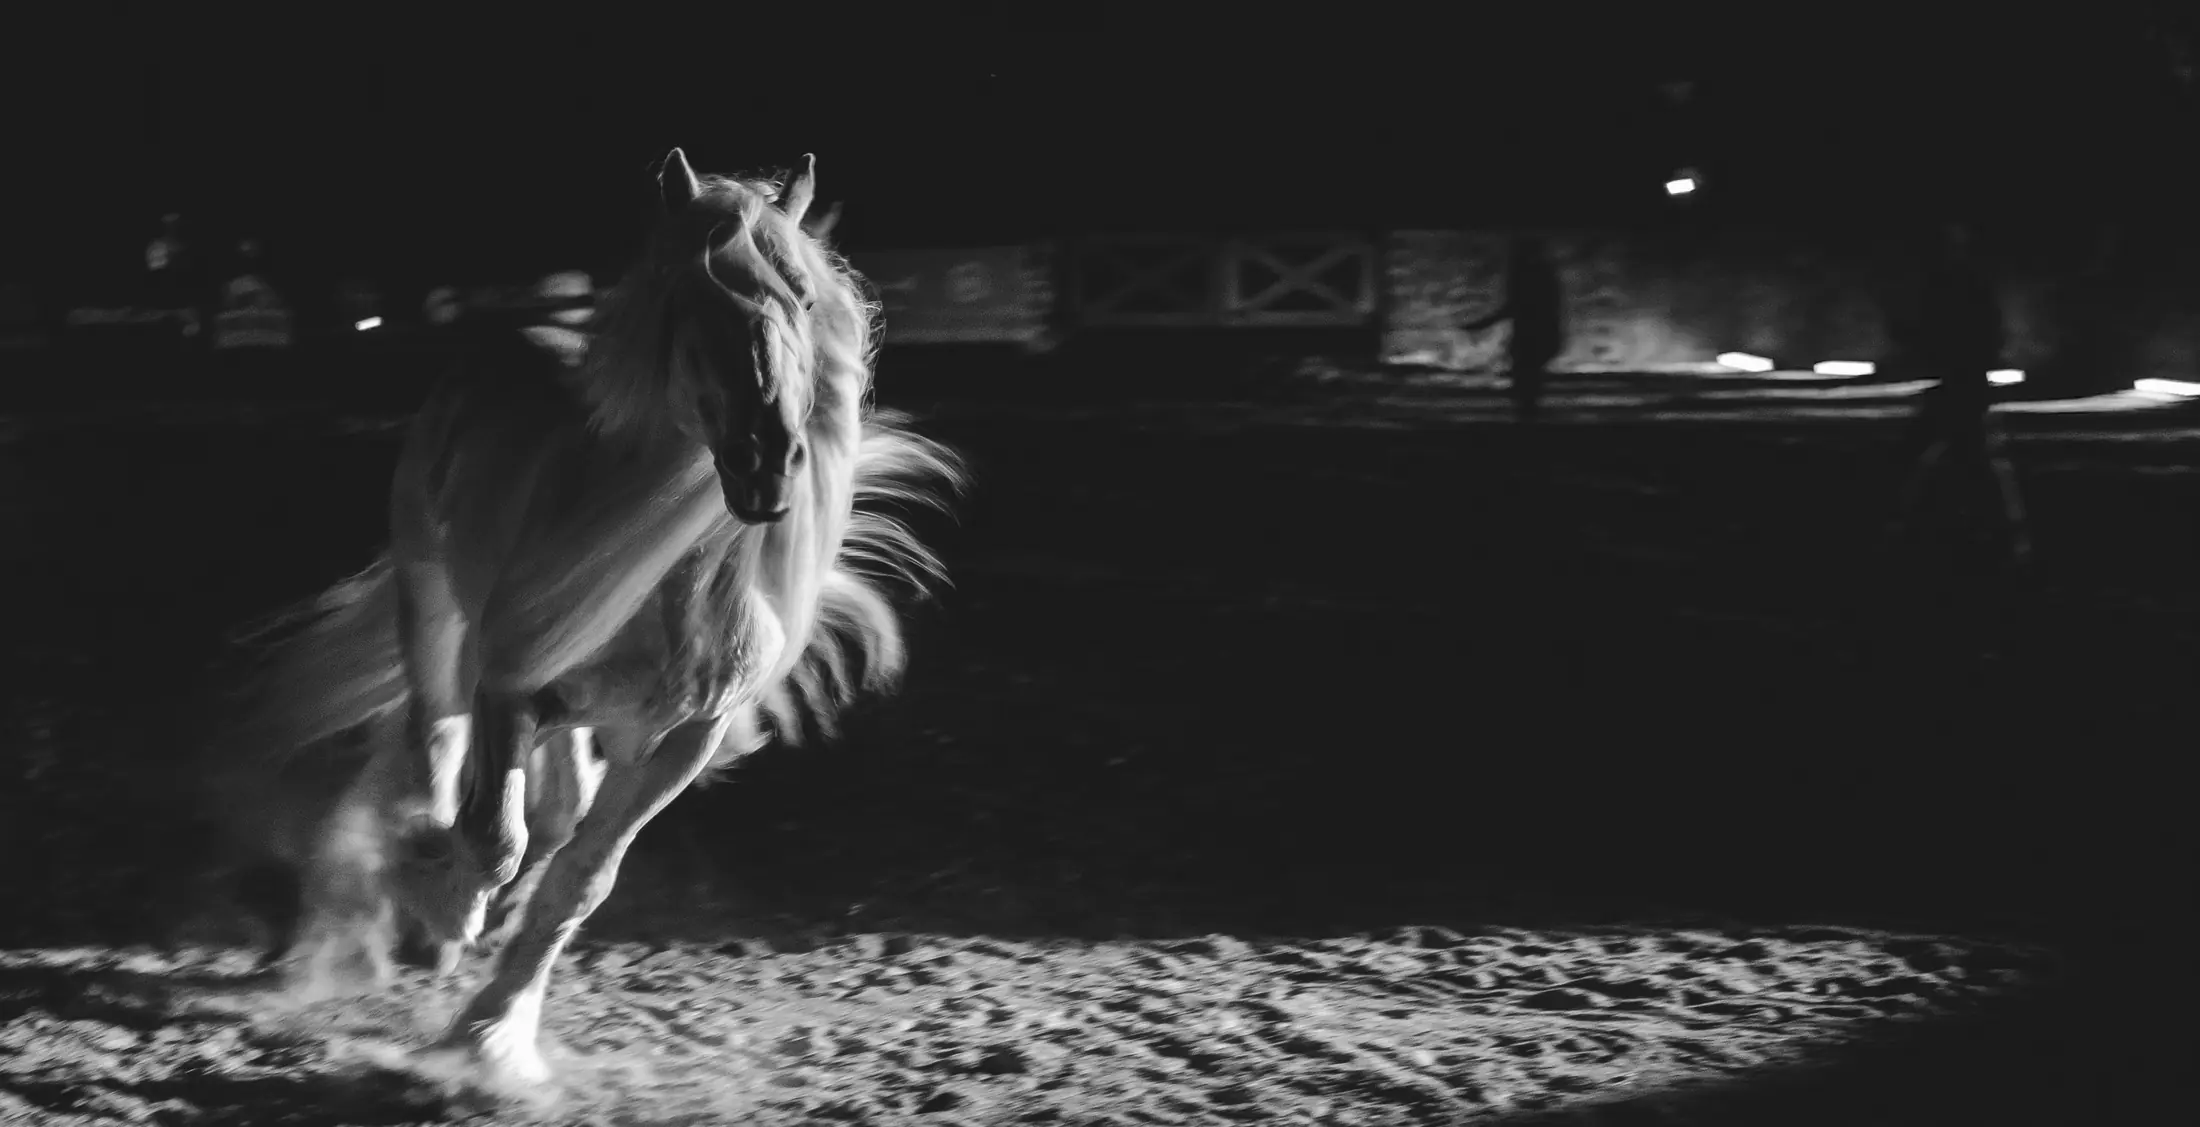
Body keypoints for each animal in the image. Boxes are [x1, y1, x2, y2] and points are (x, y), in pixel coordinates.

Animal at [208, 149, 961, 1091]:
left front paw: (494, 1030)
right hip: (433, 604)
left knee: (560, 804)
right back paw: (433, 897)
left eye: (805, 299)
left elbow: (583, 874)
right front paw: (450, 925)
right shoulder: (510, 690)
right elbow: (494, 832)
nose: (769, 460)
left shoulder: (683, 737)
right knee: (437, 742)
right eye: (689, 298)